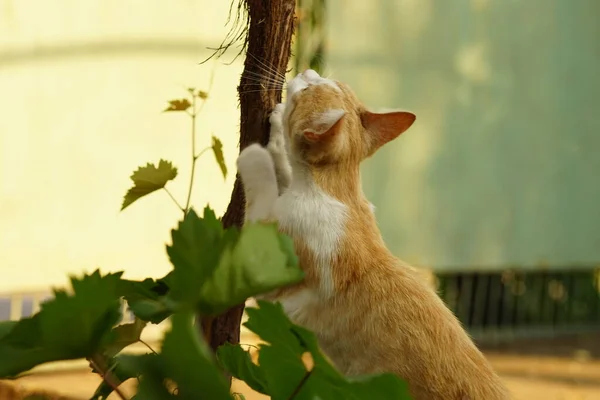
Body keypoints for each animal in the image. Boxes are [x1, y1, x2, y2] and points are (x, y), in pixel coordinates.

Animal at [237, 69, 508, 400]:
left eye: (309, 88)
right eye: (323, 80)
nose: (307, 71)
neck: (337, 194)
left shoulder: (270, 269)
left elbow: (263, 188)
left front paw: (254, 155)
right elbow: (284, 168)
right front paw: (275, 132)